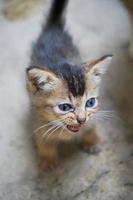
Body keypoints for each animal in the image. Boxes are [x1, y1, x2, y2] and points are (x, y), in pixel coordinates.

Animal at [26, 0, 112, 170]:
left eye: (90, 103)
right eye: (65, 107)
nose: (82, 119)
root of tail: (53, 28)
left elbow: (92, 124)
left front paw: (92, 140)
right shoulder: (36, 118)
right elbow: (42, 138)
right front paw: (47, 157)